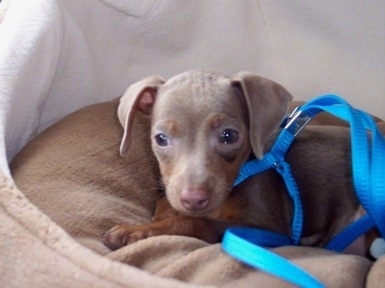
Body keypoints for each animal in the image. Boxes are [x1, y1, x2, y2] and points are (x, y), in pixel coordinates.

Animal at [103, 71, 380, 255]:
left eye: (229, 136)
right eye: (161, 139)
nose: (193, 199)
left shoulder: (270, 230)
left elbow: (197, 221)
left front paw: (133, 232)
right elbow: (165, 203)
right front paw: (156, 219)